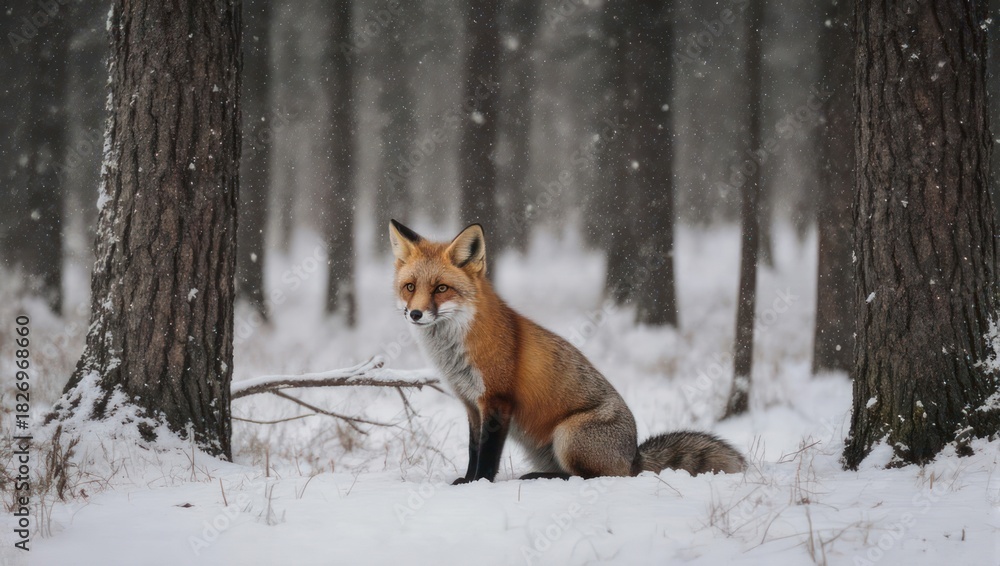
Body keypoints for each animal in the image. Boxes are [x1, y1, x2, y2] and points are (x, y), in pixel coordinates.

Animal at [389, 220, 746, 483]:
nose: (415, 314)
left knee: (595, 477)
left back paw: (542, 478)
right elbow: (474, 449)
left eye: (441, 288)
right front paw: (466, 479)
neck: (454, 351)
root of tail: (633, 456)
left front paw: (480, 483)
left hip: (568, 435)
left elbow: (488, 455)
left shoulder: (497, 401)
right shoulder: (471, 404)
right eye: (410, 287)